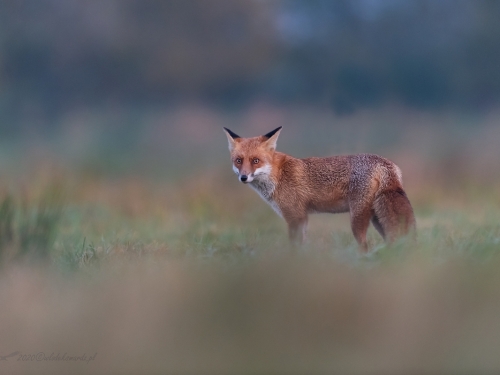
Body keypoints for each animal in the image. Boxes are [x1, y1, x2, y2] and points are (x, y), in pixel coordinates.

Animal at [225, 126, 416, 253]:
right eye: (239, 161)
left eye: (255, 161)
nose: (243, 177)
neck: (277, 175)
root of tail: (385, 163)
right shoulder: (302, 218)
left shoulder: (294, 217)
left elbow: (294, 247)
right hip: (377, 219)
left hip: (357, 220)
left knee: (365, 246)